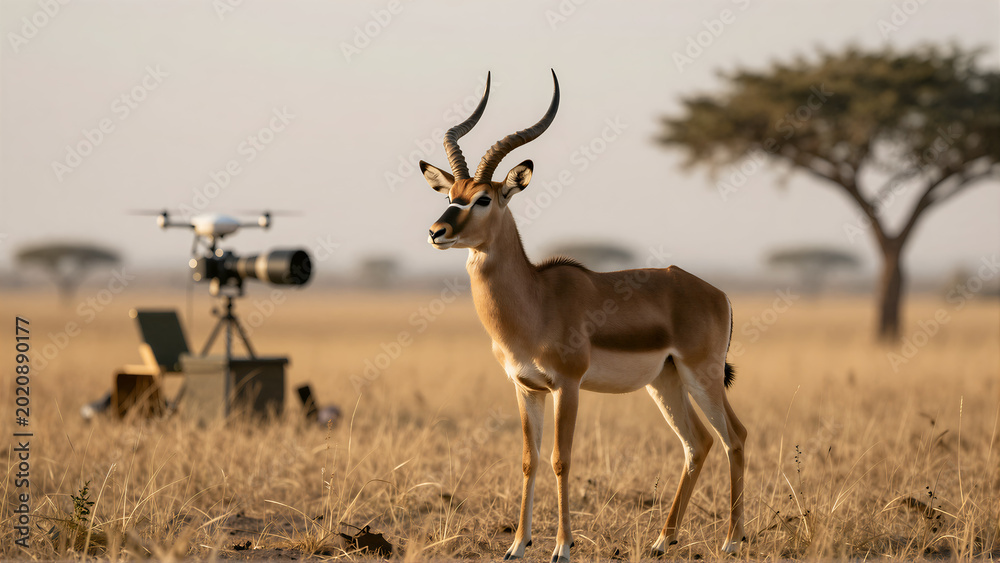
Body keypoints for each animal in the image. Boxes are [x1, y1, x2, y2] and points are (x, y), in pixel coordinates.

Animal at [419, 71, 746, 562]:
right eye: (452, 195)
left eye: (483, 199)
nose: (437, 232)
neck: (536, 301)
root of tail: (718, 293)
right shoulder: (525, 387)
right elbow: (529, 460)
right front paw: (516, 545)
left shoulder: (567, 386)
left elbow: (560, 459)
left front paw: (562, 548)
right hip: (665, 381)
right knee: (698, 443)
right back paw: (661, 541)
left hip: (701, 376)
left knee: (734, 438)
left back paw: (731, 540)